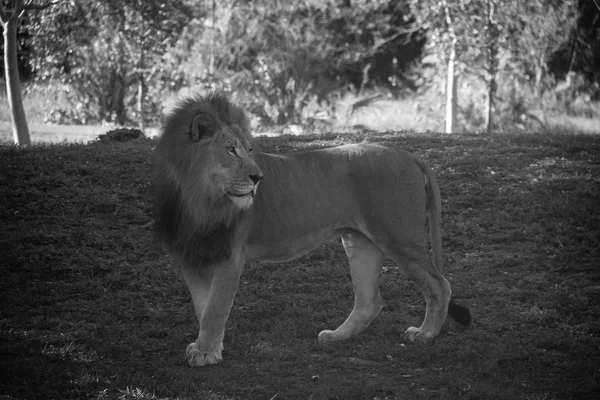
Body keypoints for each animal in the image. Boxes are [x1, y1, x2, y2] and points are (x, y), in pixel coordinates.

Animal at [152, 92, 472, 368]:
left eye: (250, 150)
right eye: (230, 150)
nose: (258, 178)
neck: (196, 198)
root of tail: (406, 154)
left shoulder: (230, 256)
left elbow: (215, 308)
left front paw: (206, 352)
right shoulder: (190, 256)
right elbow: (203, 307)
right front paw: (208, 347)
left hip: (399, 235)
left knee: (439, 285)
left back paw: (425, 333)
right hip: (359, 242)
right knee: (369, 300)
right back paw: (337, 337)